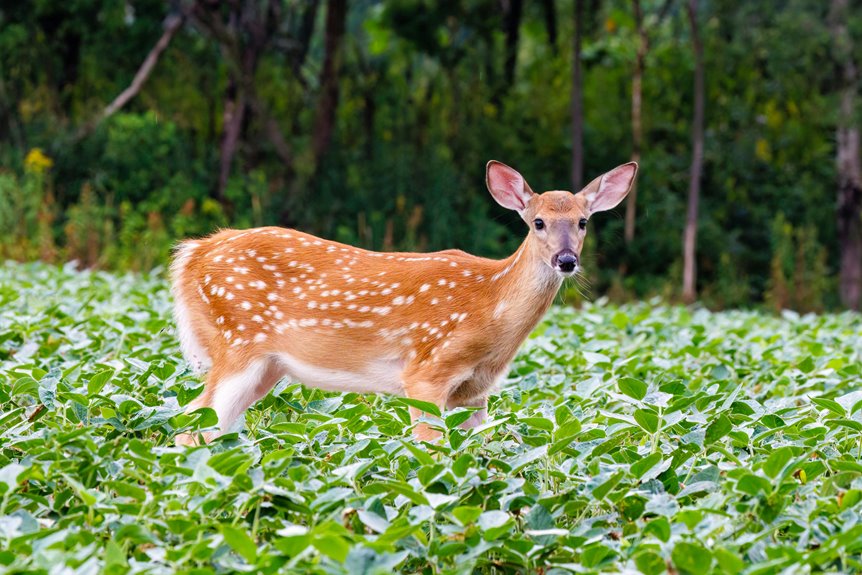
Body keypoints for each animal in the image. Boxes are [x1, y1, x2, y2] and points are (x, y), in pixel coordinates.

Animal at [171, 161, 638, 445]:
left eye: (583, 221)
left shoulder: (476, 392)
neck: (490, 307)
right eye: (538, 222)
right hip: (236, 340)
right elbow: (431, 452)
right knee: (189, 421)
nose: (566, 260)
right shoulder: (427, 371)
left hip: (266, 366)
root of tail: (192, 254)